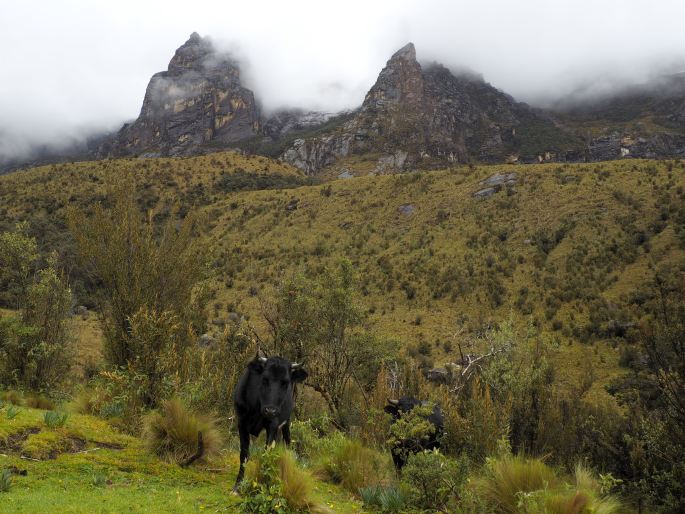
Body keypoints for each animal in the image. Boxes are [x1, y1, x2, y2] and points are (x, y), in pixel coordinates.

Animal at [232, 352, 308, 488]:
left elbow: (266, 454)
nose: (270, 411)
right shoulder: (241, 422)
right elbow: (244, 454)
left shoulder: (273, 425)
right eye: (265, 379)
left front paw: (263, 482)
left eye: (285, 382)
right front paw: (238, 485)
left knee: (287, 442)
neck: (257, 408)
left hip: (286, 422)